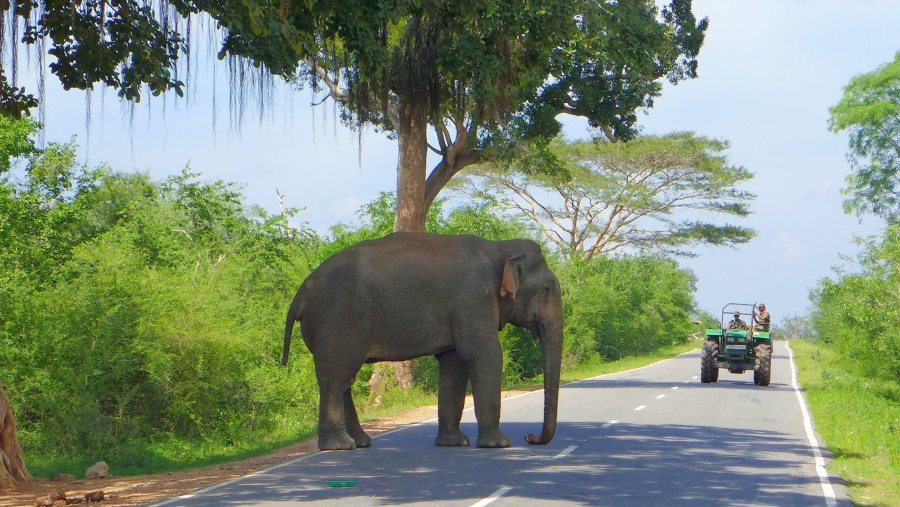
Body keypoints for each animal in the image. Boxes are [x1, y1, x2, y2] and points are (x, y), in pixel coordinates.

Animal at [282, 232, 564, 450]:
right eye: (547, 289)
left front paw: (455, 443)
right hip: (336, 321)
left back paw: (360, 443)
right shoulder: (473, 298)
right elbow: (484, 354)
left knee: (344, 381)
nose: (530, 436)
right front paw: (498, 444)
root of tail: (300, 294)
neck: (499, 247)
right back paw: (340, 446)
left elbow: (454, 362)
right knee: (336, 378)